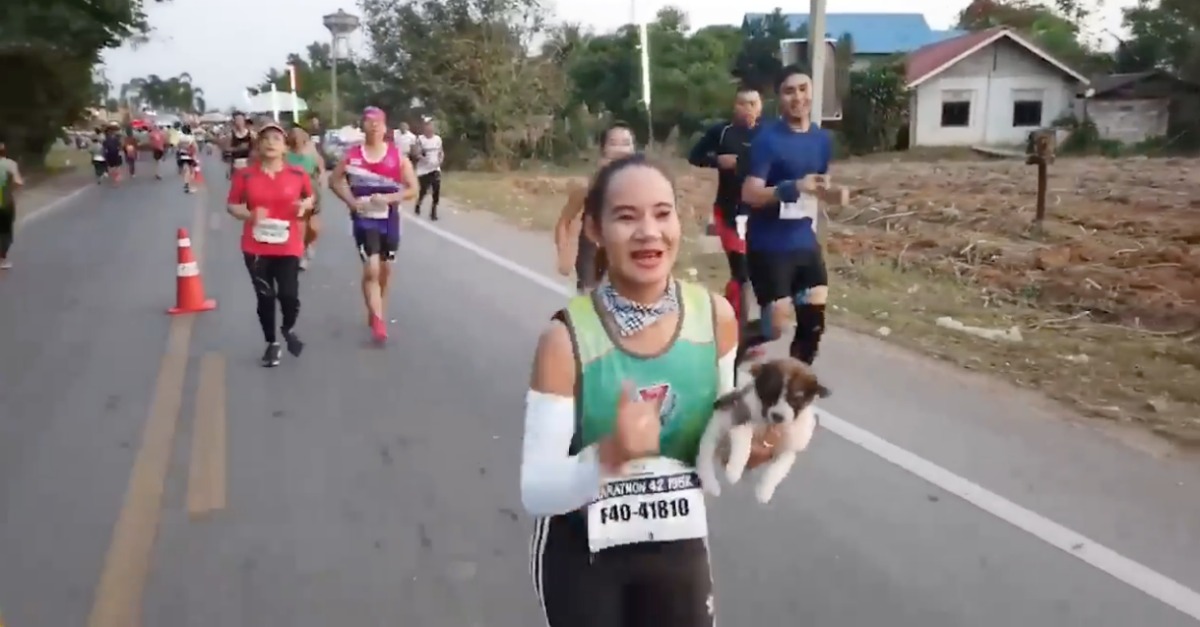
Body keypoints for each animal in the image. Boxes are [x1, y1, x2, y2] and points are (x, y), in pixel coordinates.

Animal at [700, 355, 830, 502]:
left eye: (796, 399)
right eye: (770, 395)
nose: (778, 416)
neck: (771, 425)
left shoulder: (789, 448)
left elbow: (777, 469)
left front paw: (764, 491)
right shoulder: (740, 419)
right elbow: (744, 442)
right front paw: (734, 471)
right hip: (715, 430)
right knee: (705, 455)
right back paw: (711, 482)